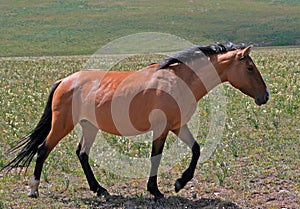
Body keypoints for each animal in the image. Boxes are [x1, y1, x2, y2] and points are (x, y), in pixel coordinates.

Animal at [0, 42, 270, 199]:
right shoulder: (161, 129)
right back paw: (34, 190)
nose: (264, 96)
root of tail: (65, 81)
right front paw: (157, 191)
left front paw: (179, 183)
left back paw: (100, 190)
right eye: (249, 68)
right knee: (43, 149)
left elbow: (196, 149)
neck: (179, 81)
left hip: (89, 126)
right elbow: (156, 157)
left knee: (82, 154)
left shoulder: (177, 126)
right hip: (62, 124)